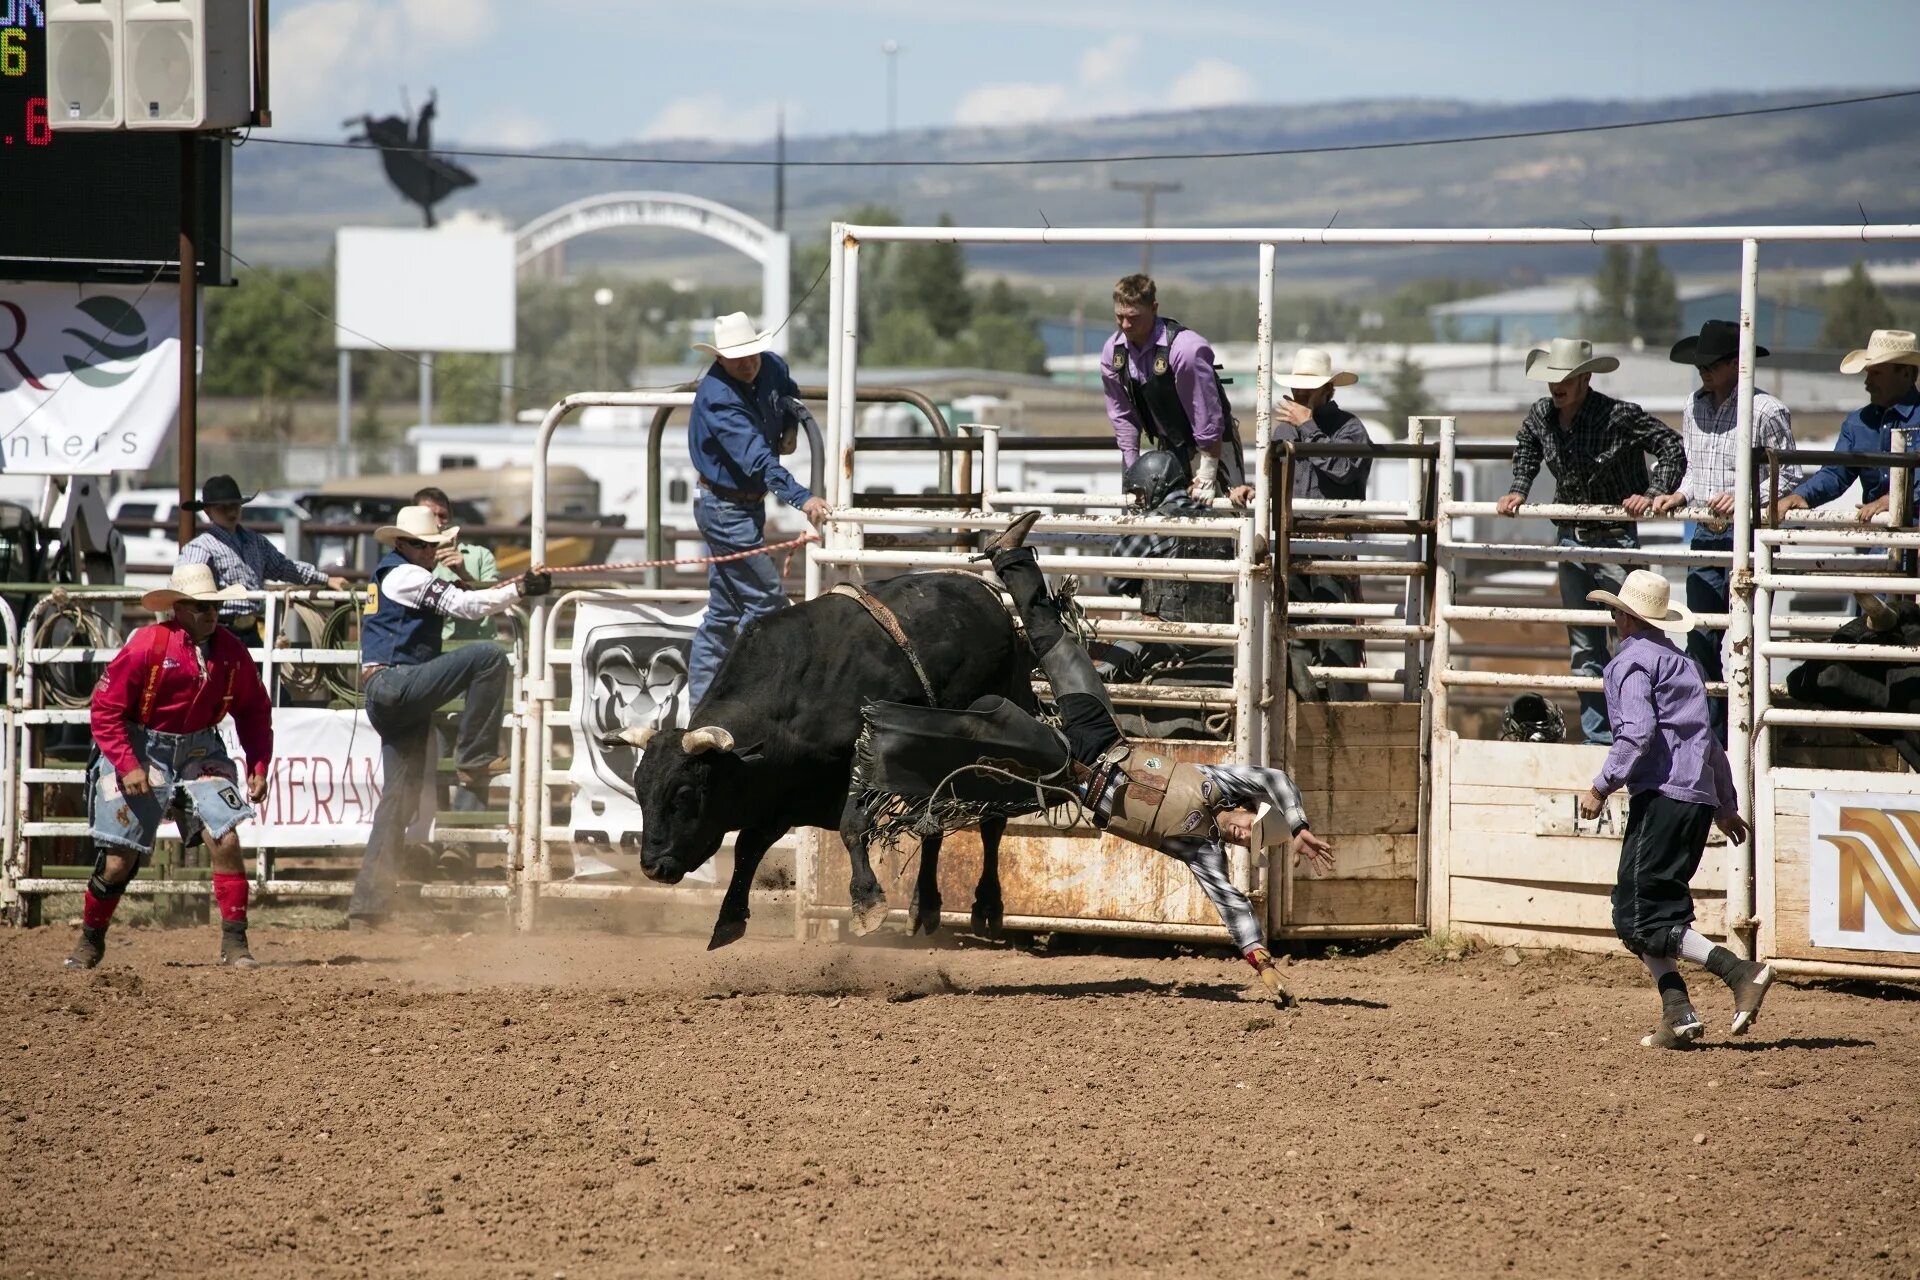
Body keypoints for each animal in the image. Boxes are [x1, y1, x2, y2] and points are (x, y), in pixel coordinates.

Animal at [629, 575, 1036, 948]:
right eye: (640, 793)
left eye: (683, 794)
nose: (652, 866)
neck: (797, 694)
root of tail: (988, 596)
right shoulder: (781, 791)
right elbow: (749, 845)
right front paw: (729, 917)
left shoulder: (863, 759)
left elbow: (852, 826)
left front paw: (867, 903)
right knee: (932, 822)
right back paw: (924, 907)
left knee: (993, 821)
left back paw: (987, 907)